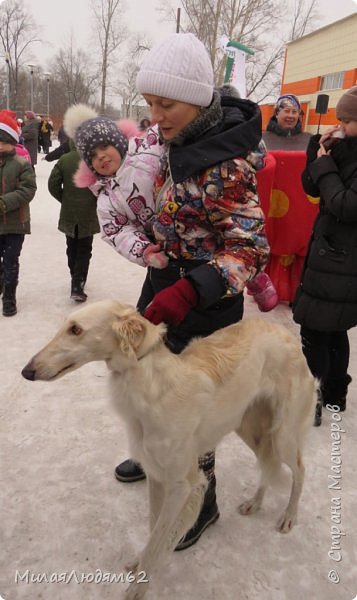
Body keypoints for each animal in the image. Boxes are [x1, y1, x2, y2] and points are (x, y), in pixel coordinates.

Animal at [21, 300, 314, 600]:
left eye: (76, 329)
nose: (26, 372)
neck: (153, 389)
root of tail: (288, 335)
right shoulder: (155, 476)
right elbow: (153, 530)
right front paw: (141, 565)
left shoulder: (181, 485)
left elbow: (158, 540)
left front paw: (138, 587)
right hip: (250, 429)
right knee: (268, 465)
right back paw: (255, 503)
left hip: (282, 435)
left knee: (300, 470)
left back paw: (289, 517)